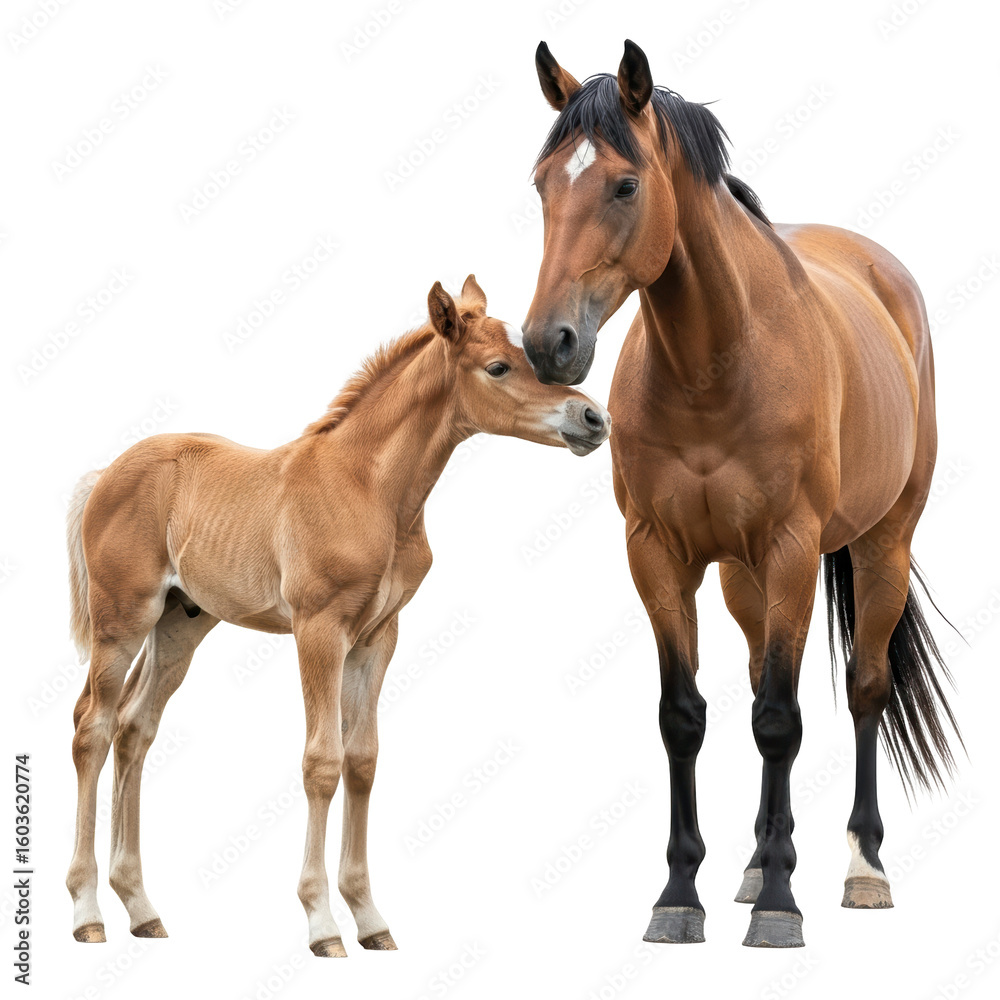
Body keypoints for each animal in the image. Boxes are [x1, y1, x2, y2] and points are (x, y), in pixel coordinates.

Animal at [65, 275, 611, 956]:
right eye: (498, 366)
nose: (593, 418)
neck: (370, 489)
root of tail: (105, 474)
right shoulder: (319, 630)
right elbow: (321, 762)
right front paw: (322, 922)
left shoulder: (378, 636)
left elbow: (363, 760)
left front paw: (371, 918)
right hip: (121, 621)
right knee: (92, 727)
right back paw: (86, 911)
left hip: (179, 624)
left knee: (135, 727)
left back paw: (140, 907)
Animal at [520, 40, 961, 948]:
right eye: (542, 182)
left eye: (625, 185)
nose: (550, 344)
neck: (717, 365)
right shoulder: (658, 555)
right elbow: (685, 716)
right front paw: (680, 895)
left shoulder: (793, 549)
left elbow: (780, 720)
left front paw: (781, 908)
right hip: (740, 577)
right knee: (763, 671)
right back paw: (758, 861)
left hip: (881, 546)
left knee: (863, 689)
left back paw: (860, 868)